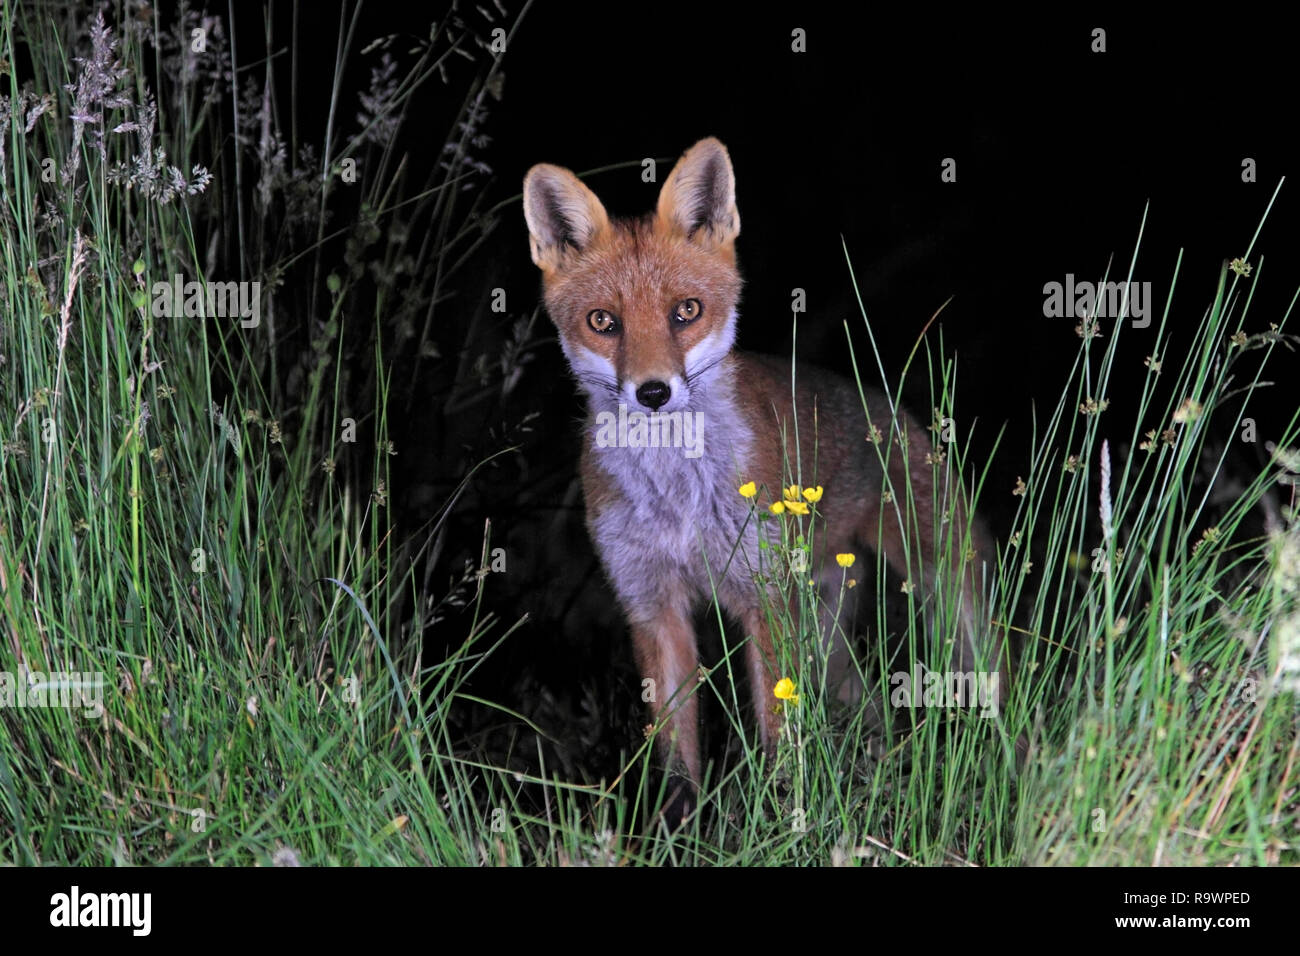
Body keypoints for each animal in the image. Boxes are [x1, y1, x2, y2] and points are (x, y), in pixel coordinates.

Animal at [522, 136, 998, 806]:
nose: (653, 393)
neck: (679, 501)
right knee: (869, 706)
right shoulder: (652, 604)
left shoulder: (763, 599)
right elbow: (676, 760)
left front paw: (780, 814)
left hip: (946, 594)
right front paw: (681, 827)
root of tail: (892, 408)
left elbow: (778, 742)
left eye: (686, 311)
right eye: (602, 322)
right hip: (825, 631)